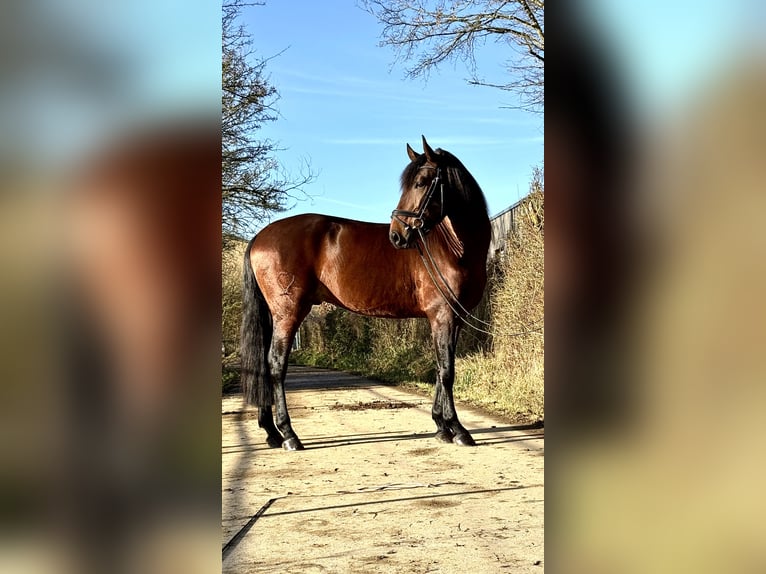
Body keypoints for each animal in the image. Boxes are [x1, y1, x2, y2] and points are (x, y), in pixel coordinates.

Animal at [240, 138, 492, 450]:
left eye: (421, 182)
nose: (396, 236)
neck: (453, 248)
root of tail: (259, 237)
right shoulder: (443, 315)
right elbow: (447, 370)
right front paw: (457, 429)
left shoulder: (450, 319)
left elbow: (440, 366)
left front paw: (441, 426)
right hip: (288, 313)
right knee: (275, 365)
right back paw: (289, 435)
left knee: (263, 366)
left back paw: (272, 433)